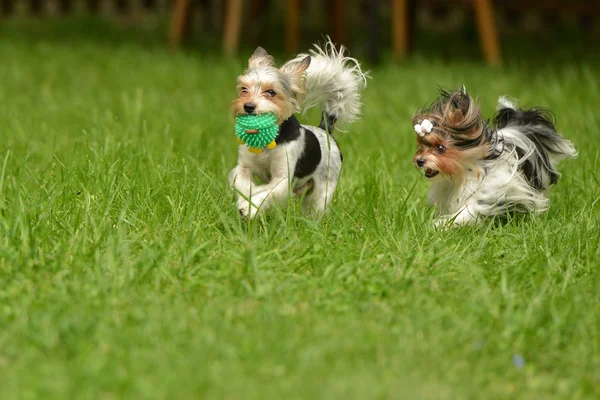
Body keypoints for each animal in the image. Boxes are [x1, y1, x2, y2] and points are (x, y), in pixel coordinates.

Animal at [227, 39, 366, 220]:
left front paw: (249, 207)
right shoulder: (244, 167)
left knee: (316, 207)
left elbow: (265, 192)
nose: (248, 106)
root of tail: (325, 130)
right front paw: (245, 201)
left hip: (322, 190)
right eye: (244, 89)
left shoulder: (282, 178)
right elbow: (244, 184)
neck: (269, 142)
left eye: (271, 92)